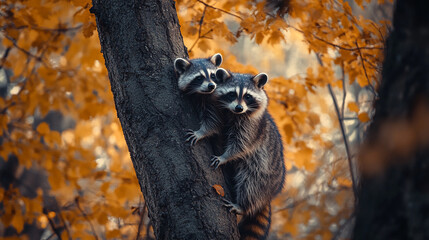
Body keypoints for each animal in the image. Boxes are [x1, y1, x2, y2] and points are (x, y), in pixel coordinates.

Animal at [211, 67, 284, 240]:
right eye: (232, 94)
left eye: (248, 96)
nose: (239, 108)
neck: (235, 114)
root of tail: (269, 195)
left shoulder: (252, 128)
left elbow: (240, 144)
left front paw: (225, 156)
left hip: (263, 174)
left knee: (250, 184)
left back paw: (243, 205)